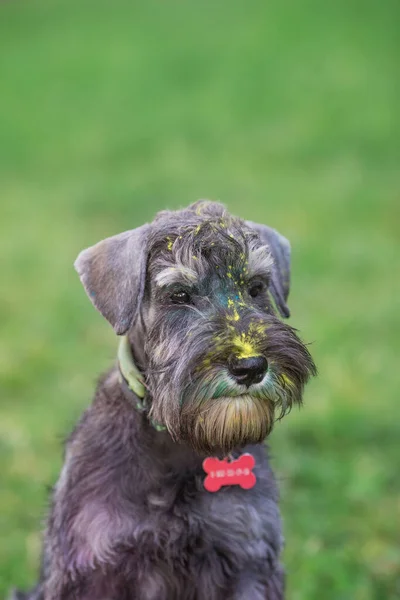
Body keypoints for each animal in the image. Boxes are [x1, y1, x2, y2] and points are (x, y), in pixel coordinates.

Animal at [11, 202, 316, 600]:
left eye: (256, 287)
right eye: (179, 295)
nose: (250, 366)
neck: (175, 441)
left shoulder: (247, 562)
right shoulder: (93, 567)